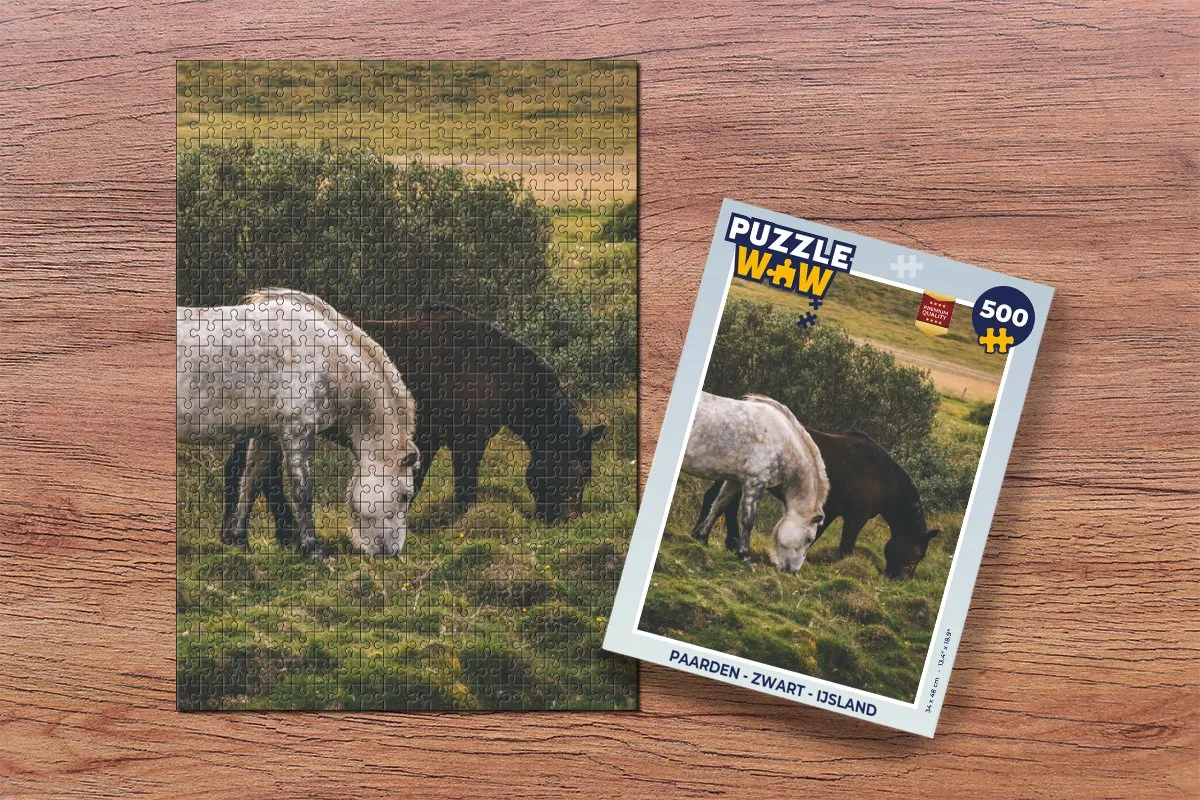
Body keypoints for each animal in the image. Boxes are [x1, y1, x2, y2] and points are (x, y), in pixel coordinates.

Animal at [177, 289, 420, 556]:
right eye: (405, 495)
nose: (391, 551)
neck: (322, 356)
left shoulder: (267, 435)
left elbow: (251, 481)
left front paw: (239, 538)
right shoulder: (297, 431)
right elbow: (302, 490)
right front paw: (311, 547)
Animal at [220, 302, 605, 545]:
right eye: (578, 471)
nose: (569, 521)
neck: (494, 369)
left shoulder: (430, 441)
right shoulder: (466, 442)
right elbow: (461, 490)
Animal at [682, 392, 829, 572]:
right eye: (809, 539)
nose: (792, 571)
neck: (782, 442)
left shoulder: (735, 481)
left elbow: (718, 507)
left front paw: (702, 538)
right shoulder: (755, 482)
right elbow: (748, 520)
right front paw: (744, 555)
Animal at [696, 428, 940, 579]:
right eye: (919, 555)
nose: (901, 579)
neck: (883, 479)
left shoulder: (829, 511)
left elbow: (815, 536)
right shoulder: (855, 517)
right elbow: (846, 546)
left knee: (716, 500)